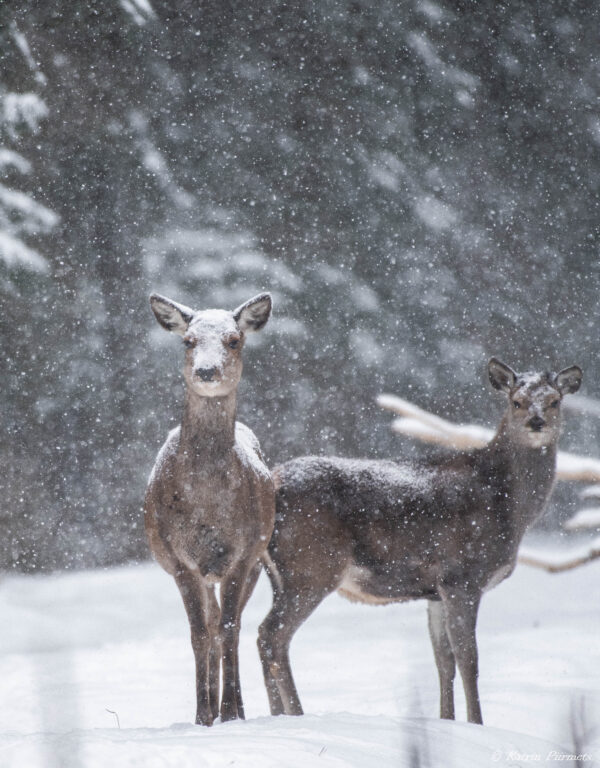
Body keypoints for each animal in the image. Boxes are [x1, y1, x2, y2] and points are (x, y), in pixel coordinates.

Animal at [146, 292, 276, 728]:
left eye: (234, 340)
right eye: (188, 341)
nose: (206, 370)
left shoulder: (241, 553)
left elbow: (229, 628)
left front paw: (232, 712)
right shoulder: (179, 560)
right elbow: (199, 633)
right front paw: (202, 714)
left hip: (256, 561)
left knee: (226, 623)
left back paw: (232, 707)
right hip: (205, 571)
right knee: (212, 621)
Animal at [258, 356, 580, 724]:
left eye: (554, 401)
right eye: (517, 401)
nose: (536, 422)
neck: (510, 509)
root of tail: (272, 484)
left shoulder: (436, 589)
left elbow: (444, 661)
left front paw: (447, 721)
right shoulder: (462, 576)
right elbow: (469, 659)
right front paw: (477, 723)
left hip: (280, 575)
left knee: (265, 637)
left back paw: (275, 716)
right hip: (313, 567)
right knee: (272, 634)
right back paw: (296, 715)